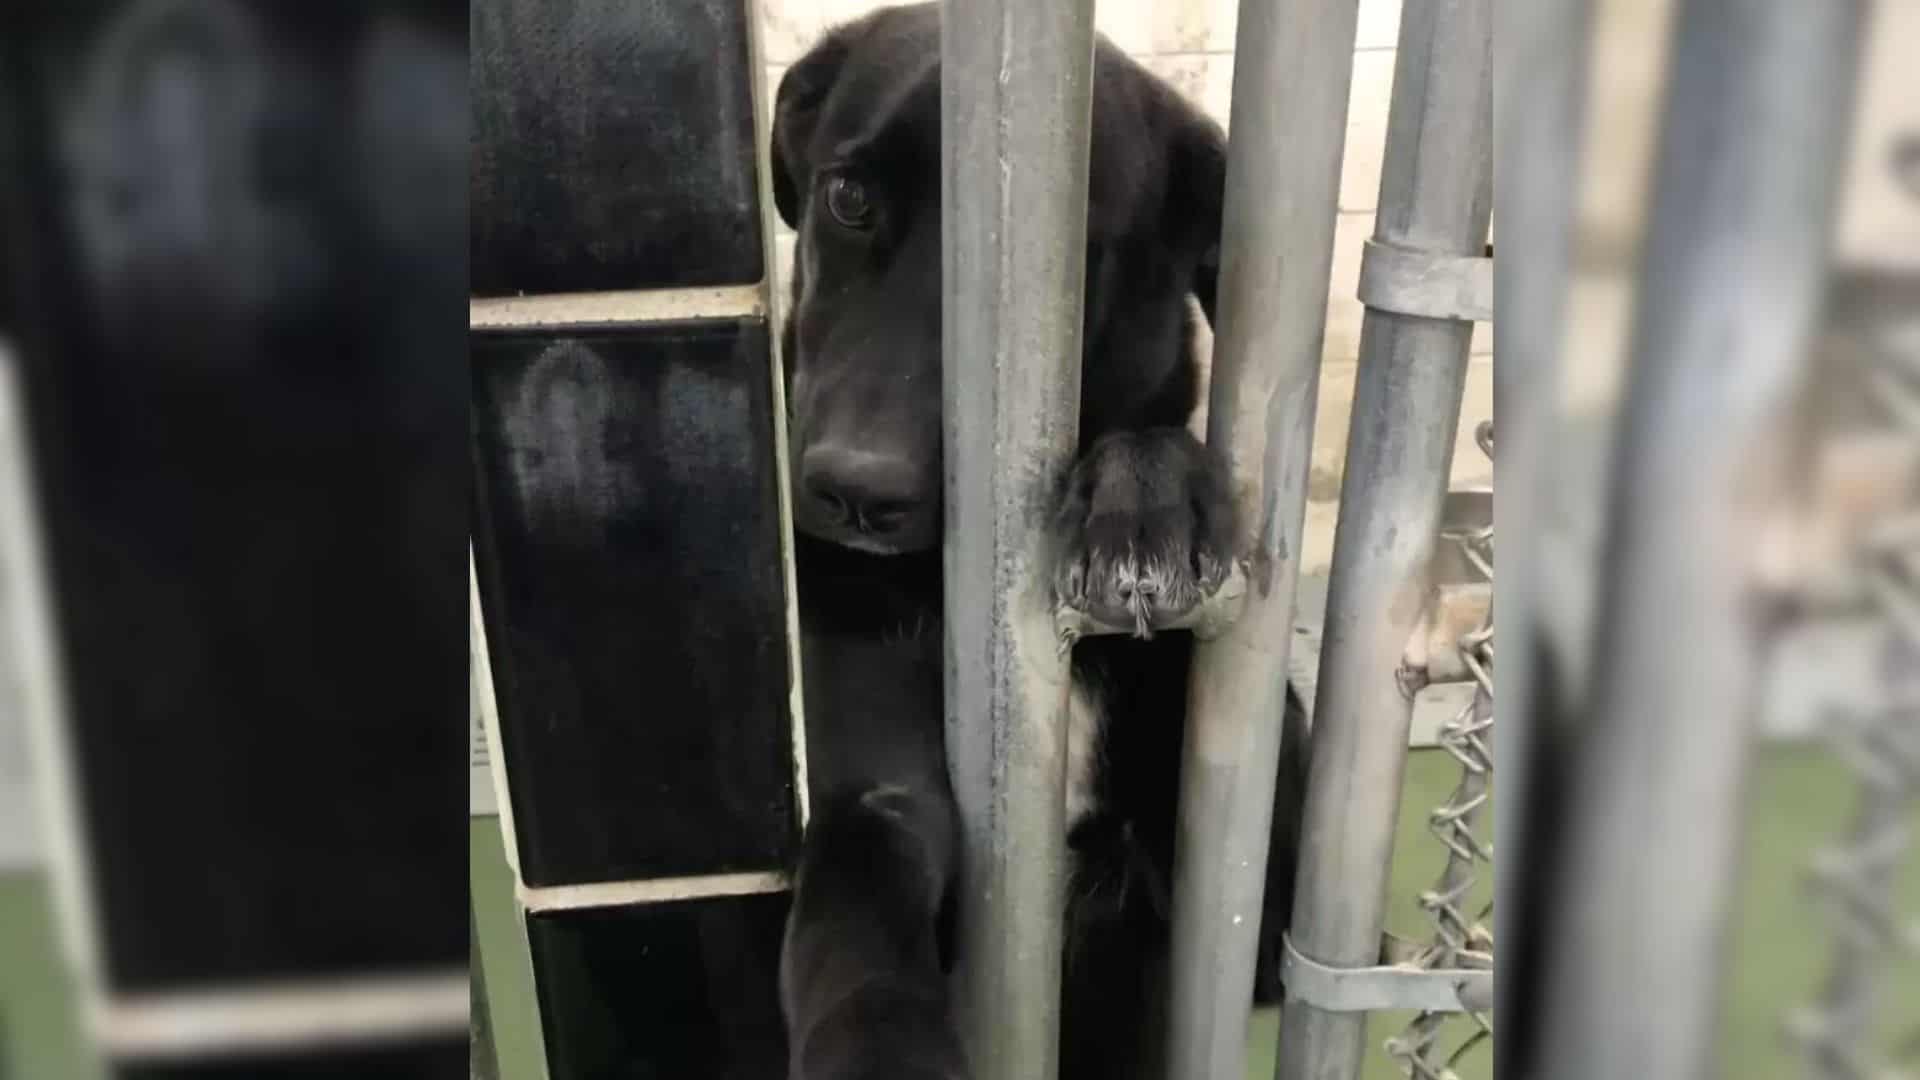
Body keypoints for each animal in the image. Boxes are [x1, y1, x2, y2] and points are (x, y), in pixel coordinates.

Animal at [775, 4, 1305, 1068]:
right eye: (848, 199)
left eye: (1074, 267)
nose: (856, 491)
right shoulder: (879, 792)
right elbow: (857, 935)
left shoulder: (1249, 894)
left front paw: (1144, 494)